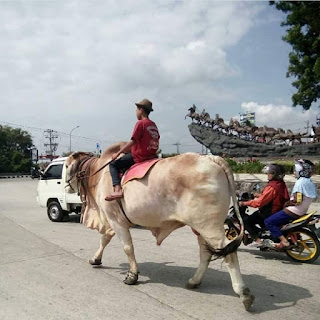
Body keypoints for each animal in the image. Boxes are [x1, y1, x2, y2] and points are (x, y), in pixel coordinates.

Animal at [65, 142, 255, 310]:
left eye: (66, 166)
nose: (66, 186)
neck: (99, 173)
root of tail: (212, 158)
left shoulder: (115, 219)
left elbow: (127, 247)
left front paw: (132, 275)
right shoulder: (112, 220)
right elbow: (104, 240)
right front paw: (95, 259)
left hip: (210, 227)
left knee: (229, 253)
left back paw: (243, 292)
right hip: (200, 227)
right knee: (206, 253)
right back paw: (194, 281)